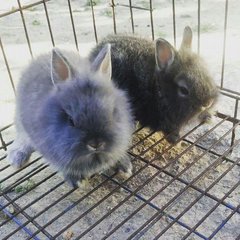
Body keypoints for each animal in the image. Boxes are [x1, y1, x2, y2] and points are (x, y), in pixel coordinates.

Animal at [7, 45, 134, 188]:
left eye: (112, 112)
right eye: (70, 120)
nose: (96, 143)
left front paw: (125, 167)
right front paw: (77, 180)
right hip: (20, 122)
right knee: (21, 139)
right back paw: (16, 158)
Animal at [89, 26, 218, 142]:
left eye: (208, 73)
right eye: (183, 90)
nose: (208, 103)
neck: (158, 87)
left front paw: (208, 117)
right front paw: (175, 139)